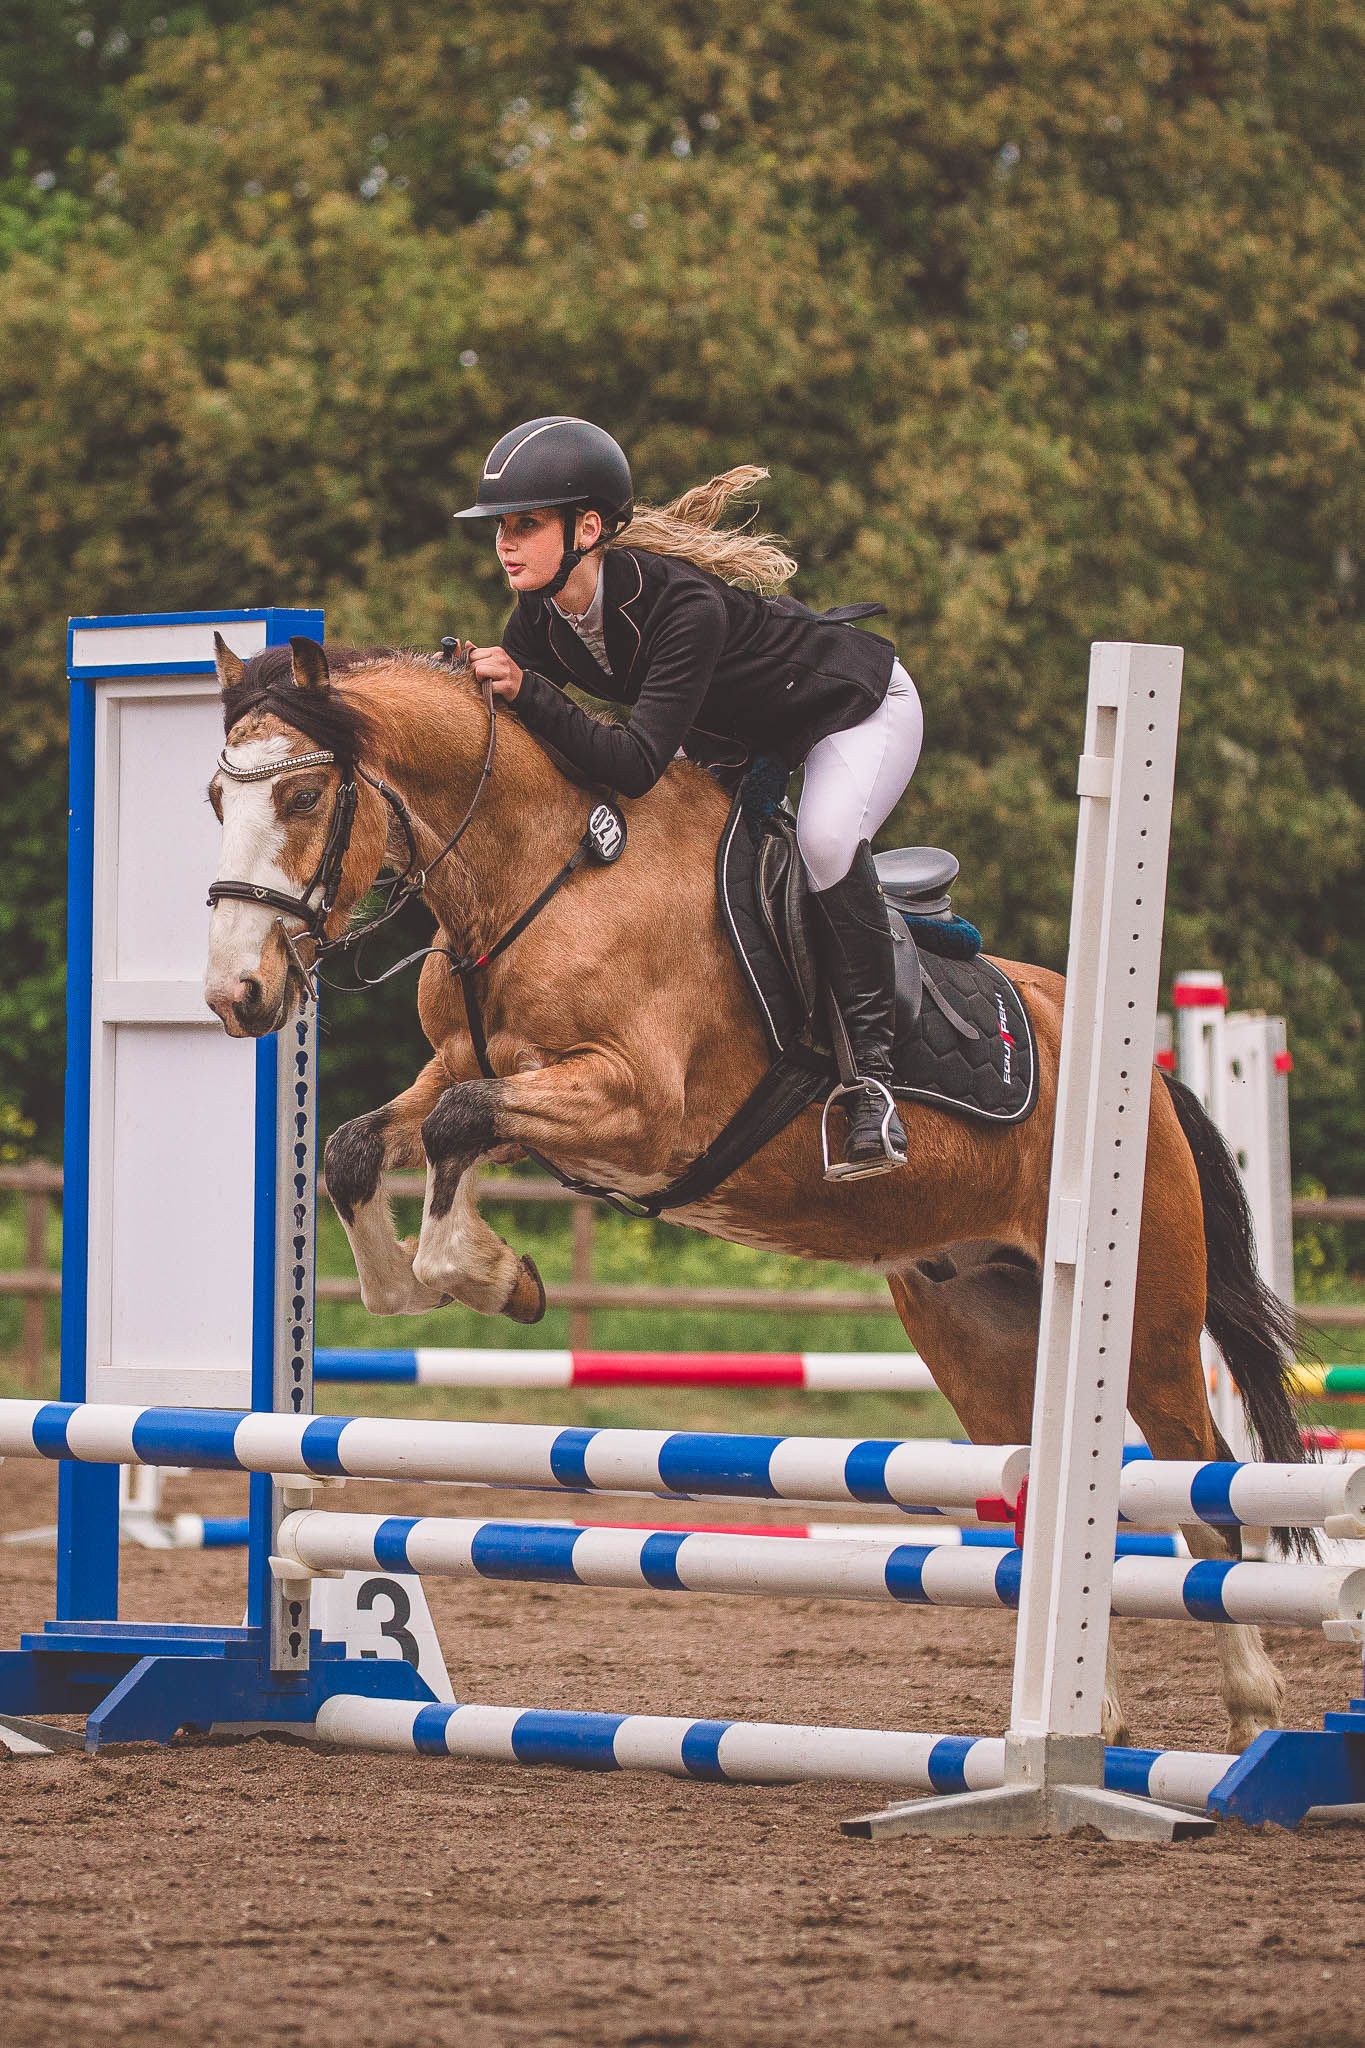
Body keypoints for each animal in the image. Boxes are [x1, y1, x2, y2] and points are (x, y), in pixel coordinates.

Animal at [202, 634, 1305, 1752]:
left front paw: (490, 1273)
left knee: (1204, 1491)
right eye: (215, 797)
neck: (541, 873)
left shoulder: (637, 1105)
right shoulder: (468, 1068)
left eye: (301, 794)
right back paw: (1093, 1721)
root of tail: (1145, 1079)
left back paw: (1245, 1708)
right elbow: (364, 1144)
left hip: (1148, 1323)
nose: (234, 996)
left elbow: (457, 1124)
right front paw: (445, 1279)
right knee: (1058, 1491)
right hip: (981, 1329)